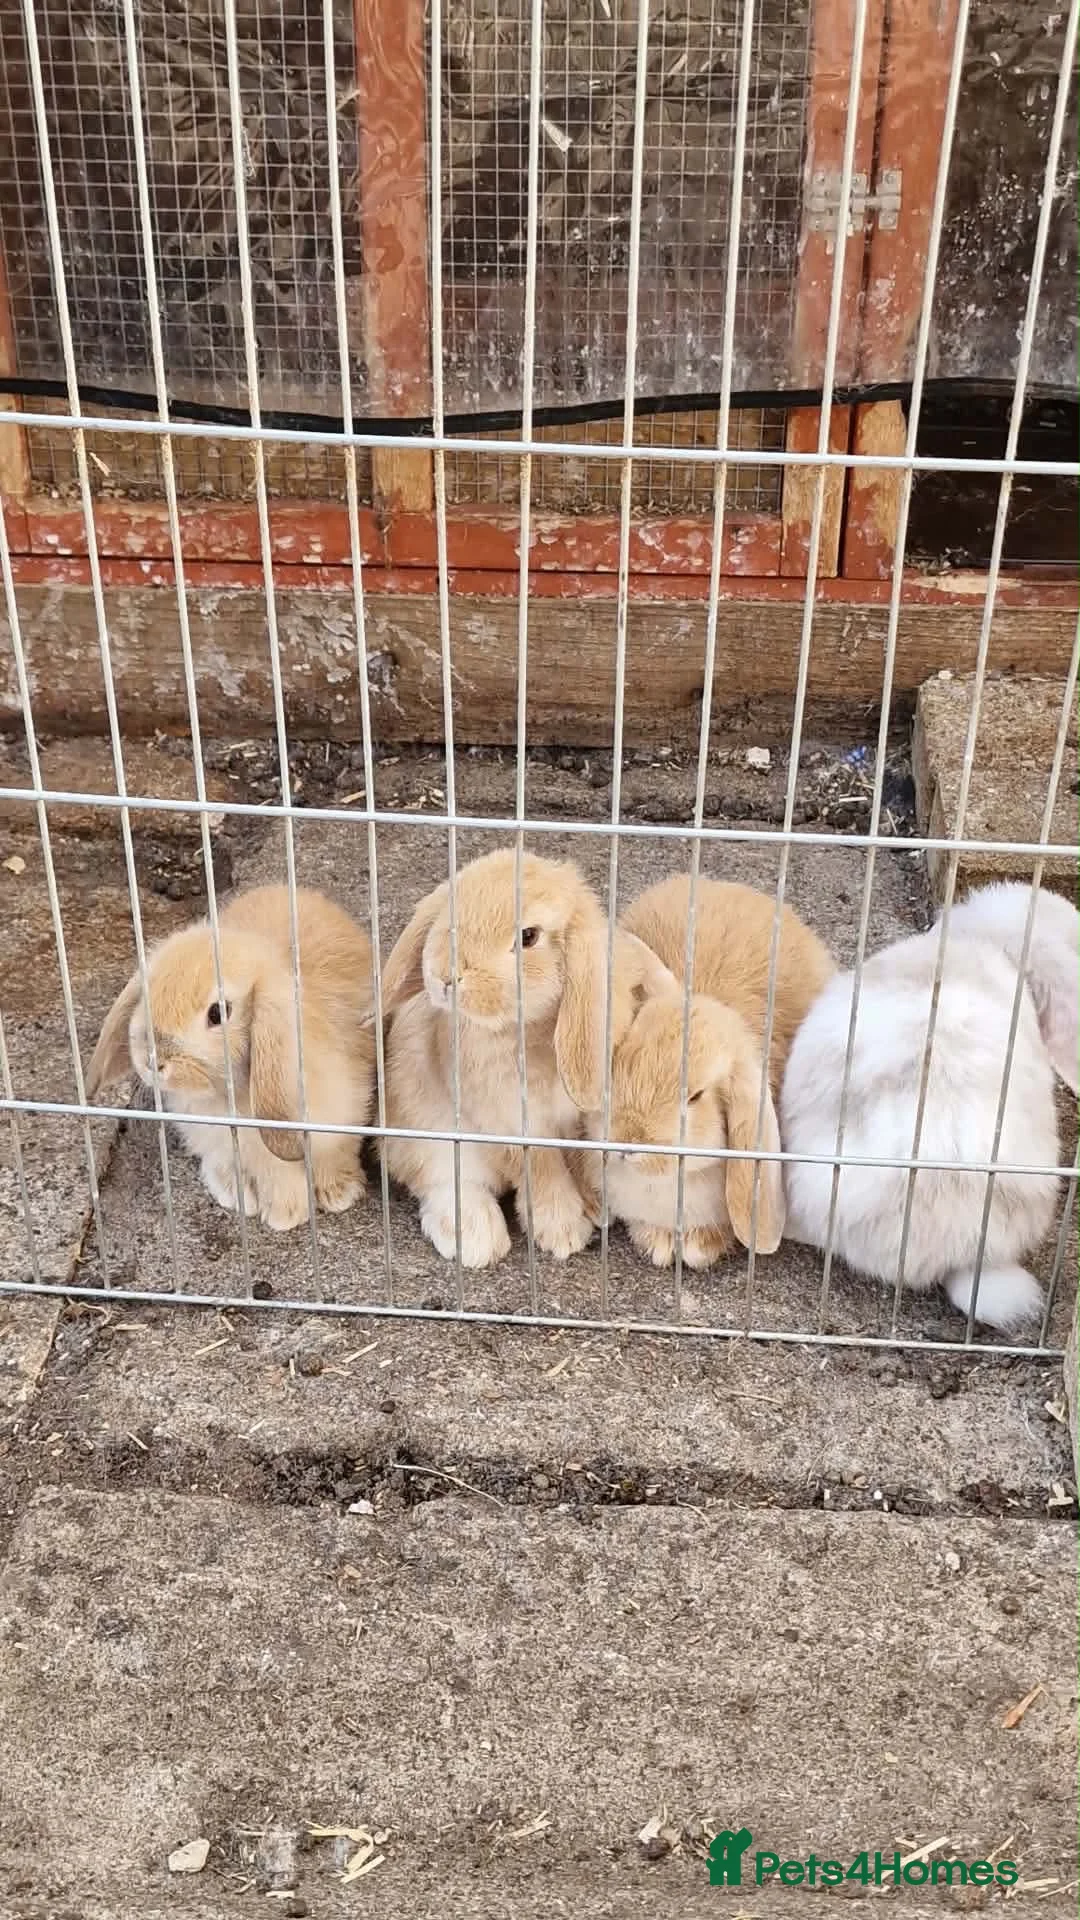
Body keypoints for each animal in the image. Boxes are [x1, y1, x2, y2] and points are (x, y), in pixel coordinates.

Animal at [86, 885, 376, 1231]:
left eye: (218, 1013)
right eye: (146, 991)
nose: (152, 1061)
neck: (229, 1096)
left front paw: (325, 1198)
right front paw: (262, 1205)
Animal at [379, 848, 674, 1268]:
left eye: (528, 936)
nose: (445, 977)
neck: (532, 1032)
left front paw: (613, 1212)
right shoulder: (506, 1120)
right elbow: (540, 1168)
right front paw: (563, 1230)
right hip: (422, 1121)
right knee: (442, 1178)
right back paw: (476, 1237)